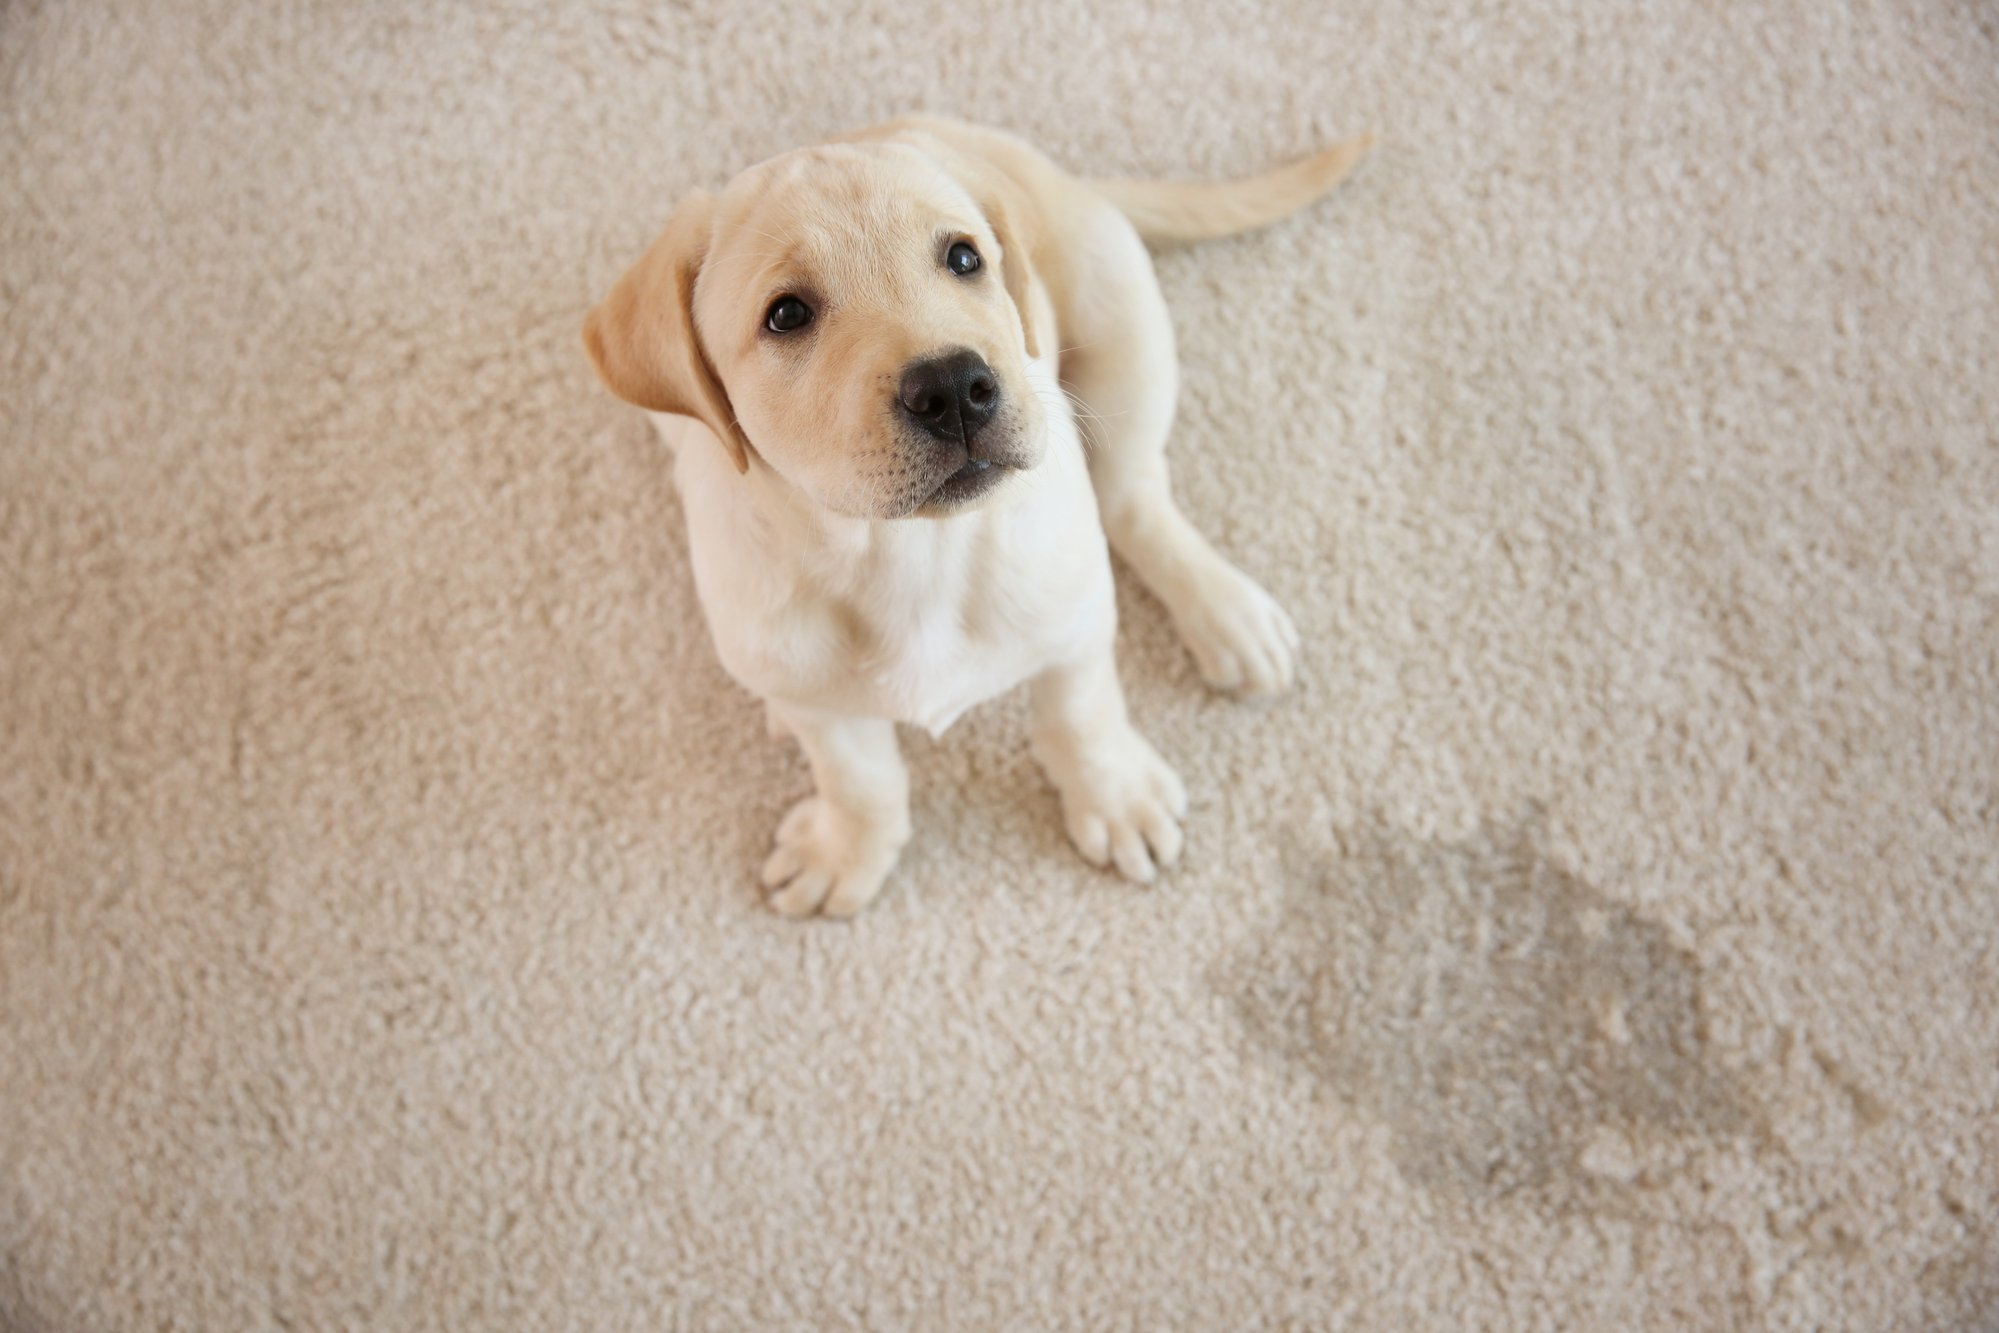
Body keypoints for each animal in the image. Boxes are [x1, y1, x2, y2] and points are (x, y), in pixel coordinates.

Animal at [583, 117, 1367, 919]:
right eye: (786, 314)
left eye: (963, 258)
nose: (955, 387)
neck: (908, 552)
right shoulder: (809, 689)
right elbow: (858, 778)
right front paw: (848, 848)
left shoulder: (1075, 621)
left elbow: (1081, 715)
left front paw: (1115, 797)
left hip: (1122, 322)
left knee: (1132, 496)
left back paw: (1226, 614)